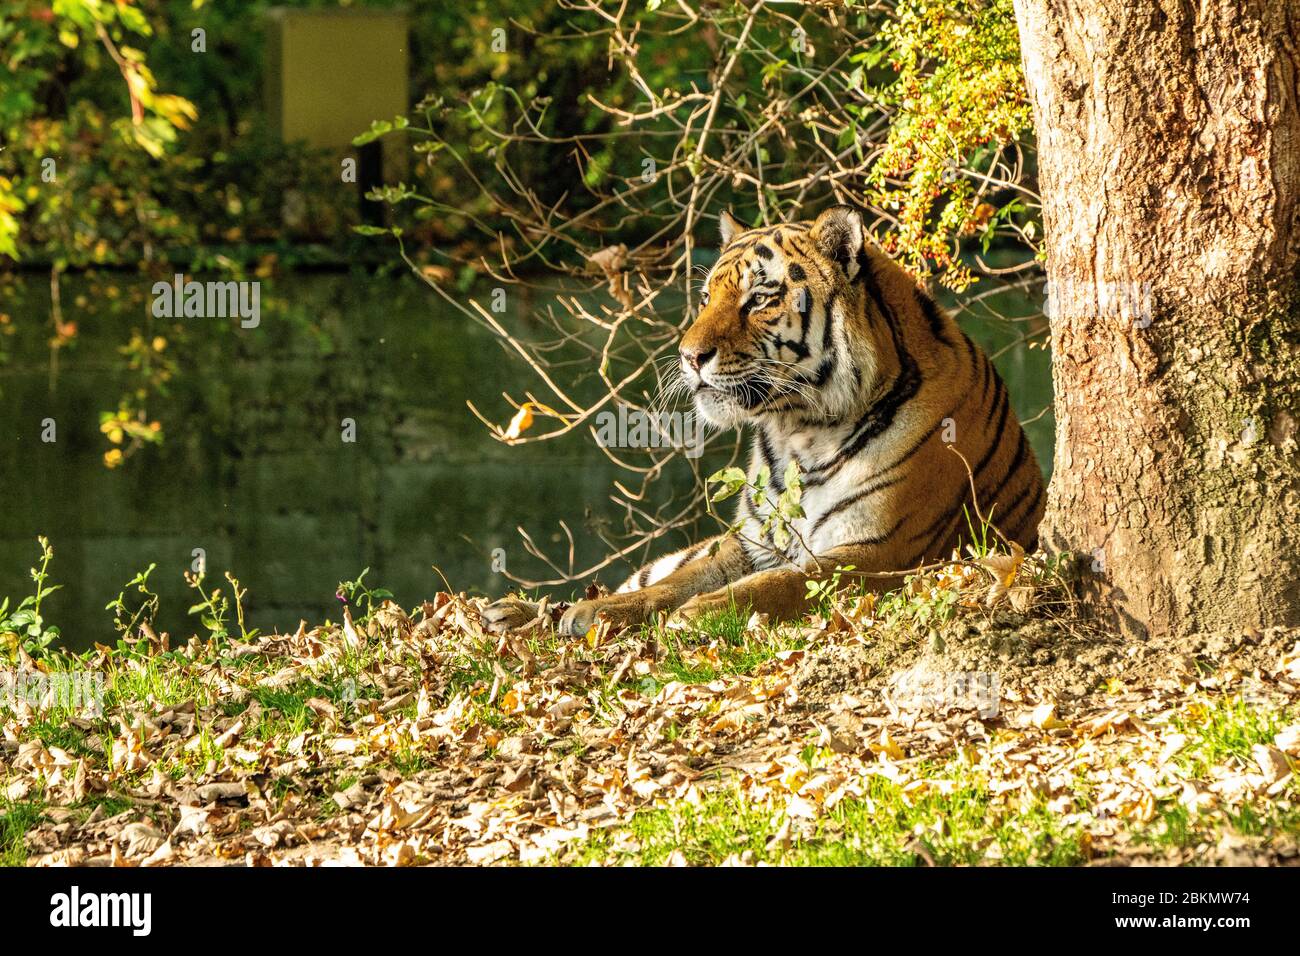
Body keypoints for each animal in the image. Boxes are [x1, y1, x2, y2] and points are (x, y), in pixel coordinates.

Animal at [484, 204, 1045, 637]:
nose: (688, 356)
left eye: (758, 299)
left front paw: (699, 615)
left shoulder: (883, 549)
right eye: (707, 297)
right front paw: (599, 612)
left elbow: (783, 583)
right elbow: (678, 580)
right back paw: (511, 612)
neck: (803, 431)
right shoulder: (751, 541)